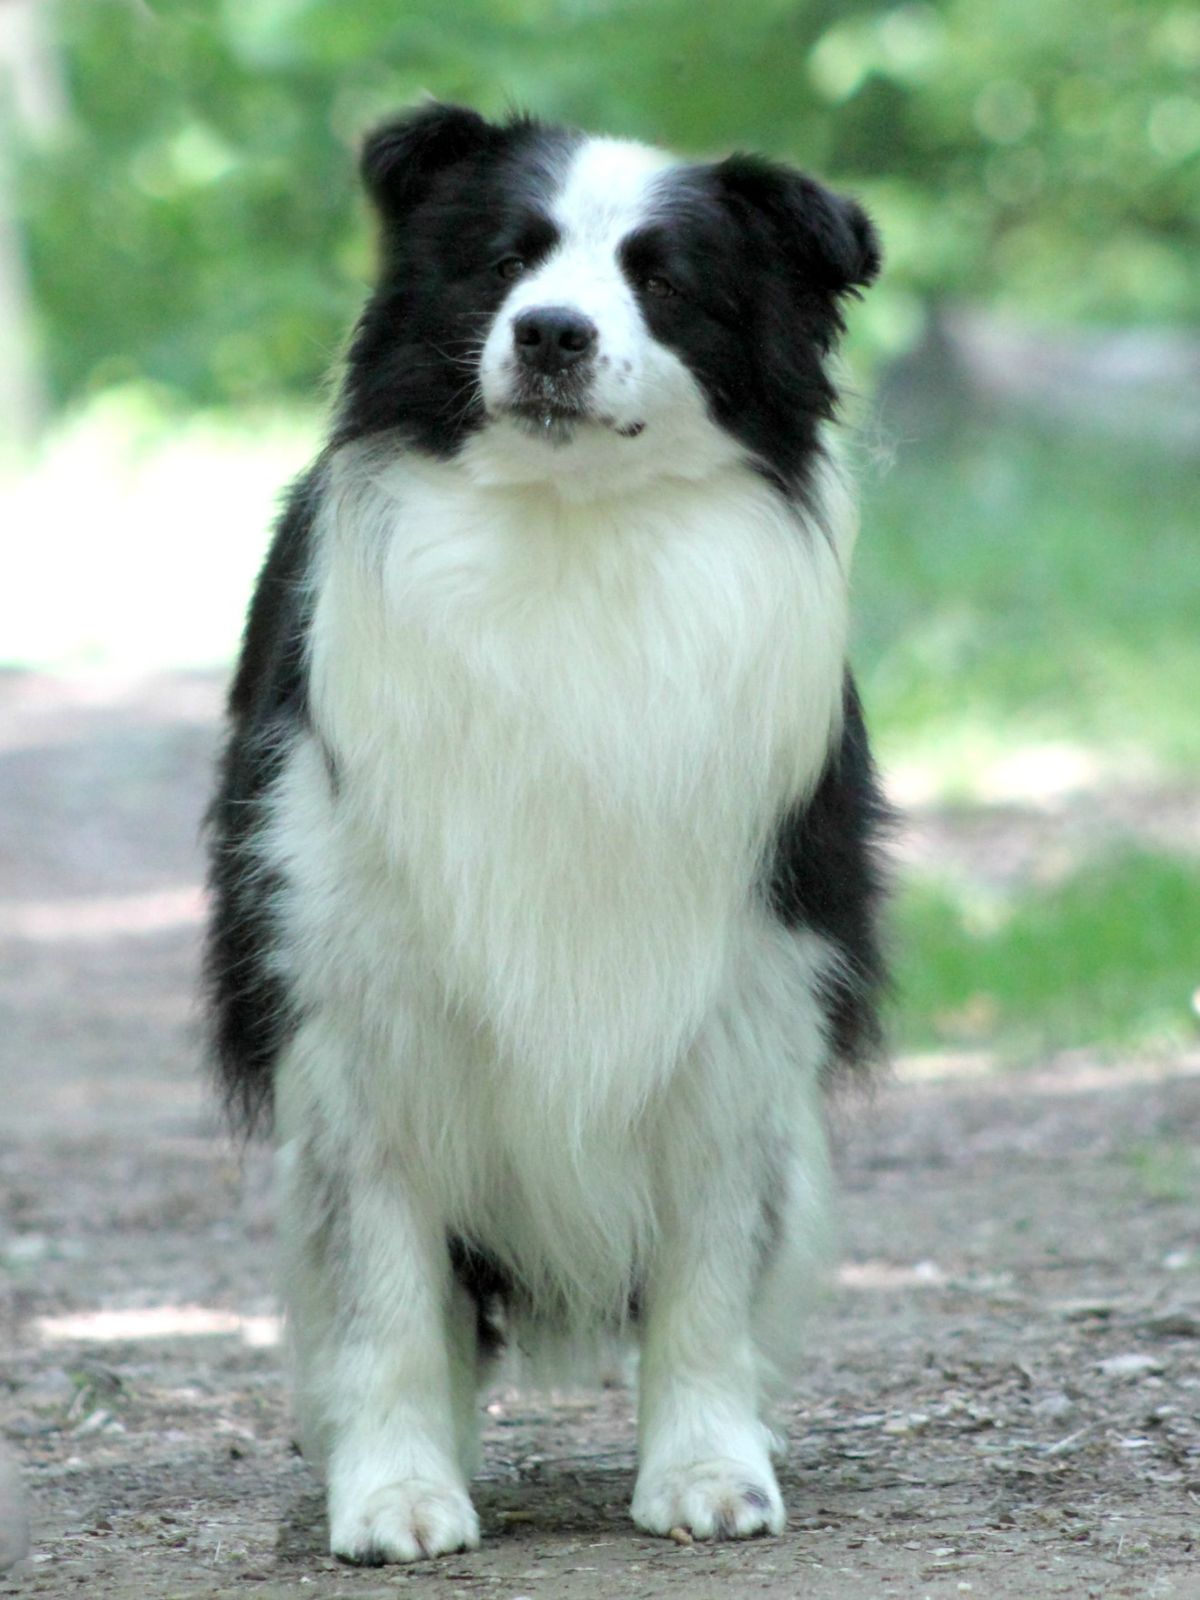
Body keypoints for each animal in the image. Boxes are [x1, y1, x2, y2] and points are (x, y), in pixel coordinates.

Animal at [204, 103, 883, 1561]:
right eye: (506, 258)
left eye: (663, 278)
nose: (552, 334)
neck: (573, 544)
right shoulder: (355, 1008)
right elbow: (383, 1288)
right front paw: (394, 1491)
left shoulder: (743, 994)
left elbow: (710, 1271)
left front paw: (709, 1468)